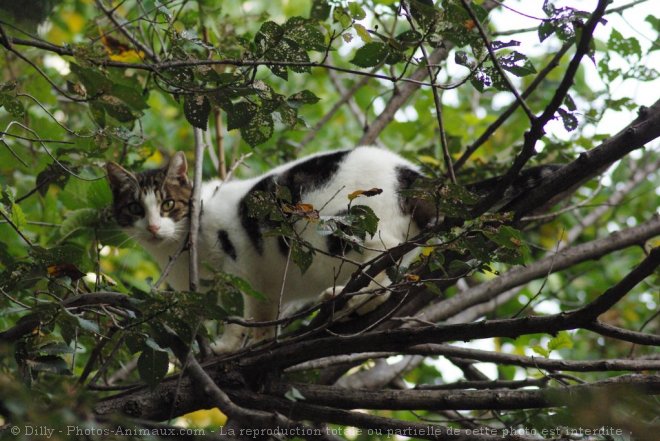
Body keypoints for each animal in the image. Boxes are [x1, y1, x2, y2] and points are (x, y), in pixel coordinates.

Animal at [105, 147, 560, 350]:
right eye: (134, 208)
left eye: (168, 205)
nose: (153, 226)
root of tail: (410, 176)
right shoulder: (259, 291)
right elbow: (264, 316)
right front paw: (253, 344)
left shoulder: (240, 274)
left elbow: (243, 315)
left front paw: (229, 347)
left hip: (344, 227)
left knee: (384, 264)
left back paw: (344, 298)